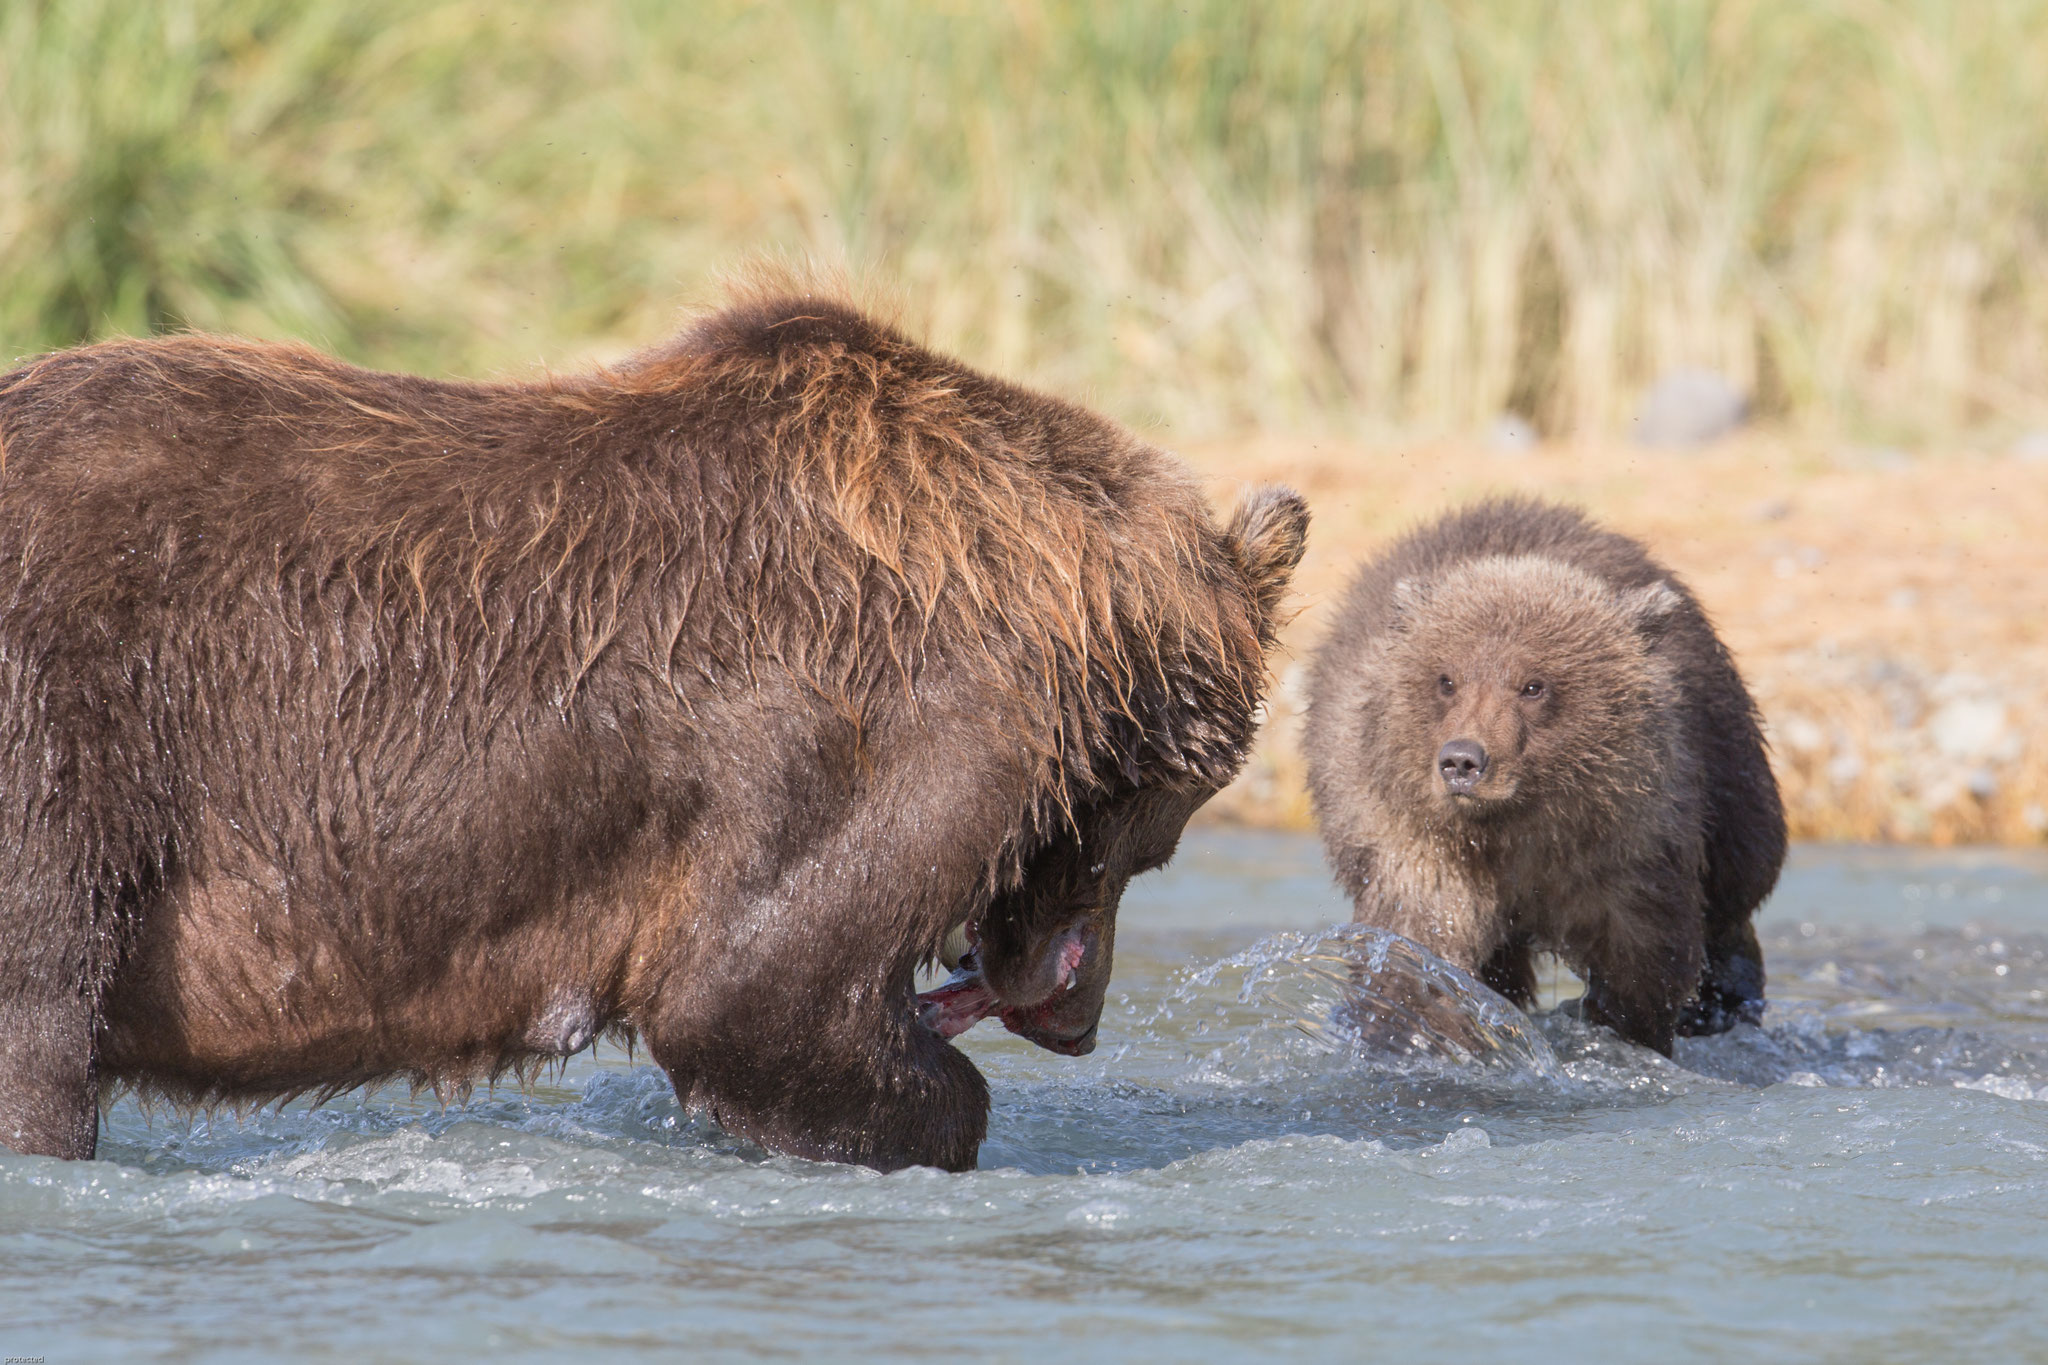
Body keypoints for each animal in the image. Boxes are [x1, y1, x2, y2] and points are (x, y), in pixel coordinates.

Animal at [0, 291, 1309, 1170]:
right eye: (1153, 836)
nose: (1075, 1023)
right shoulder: (886, 722)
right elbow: (751, 994)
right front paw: (944, 1110)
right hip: (69, 741)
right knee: (42, 1023)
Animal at [1304, 497, 1784, 1055]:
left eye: (1533, 685)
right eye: (1447, 679)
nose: (1462, 761)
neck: (1520, 830)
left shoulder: (1628, 847)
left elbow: (1642, 959)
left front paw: (1627, 1032)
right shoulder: (1423, 845)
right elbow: (1419, 948)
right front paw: (1412, 1030)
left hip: (1727, 764)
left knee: (1737, 879)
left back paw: (1723, 1001)